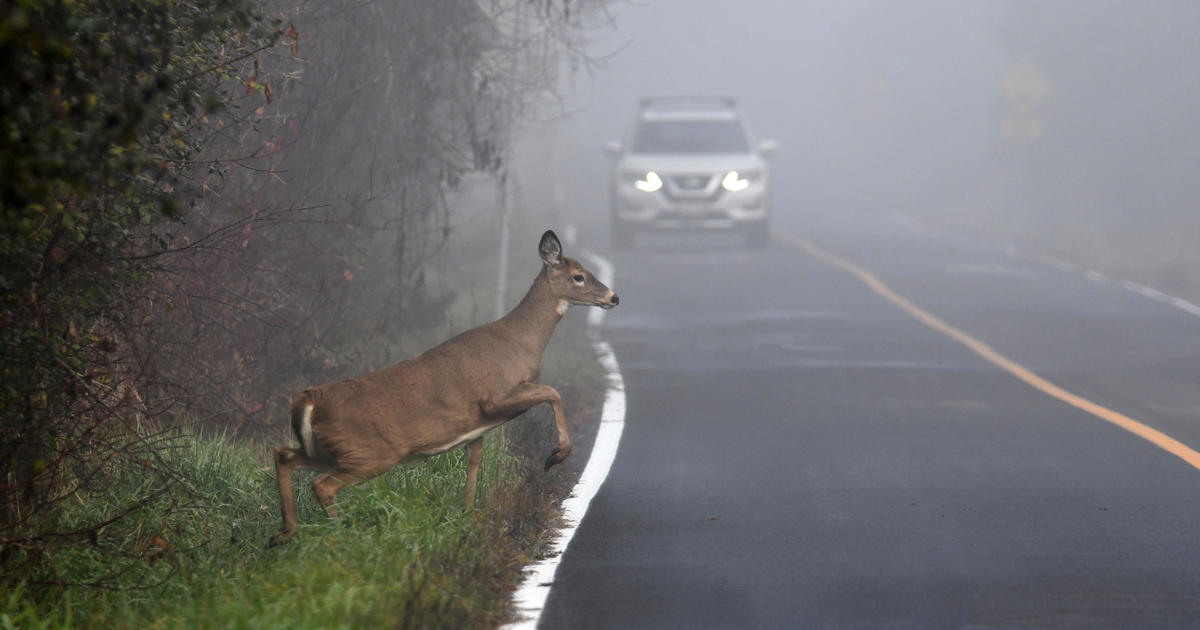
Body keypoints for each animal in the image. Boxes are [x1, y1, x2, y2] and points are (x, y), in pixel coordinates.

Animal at [271, 228, 619, 542]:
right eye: (578, 276)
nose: (613, 297)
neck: (522, 341)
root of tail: (309, 400)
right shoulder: (493, 397)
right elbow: (553, 392)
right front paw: (556, 455)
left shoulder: (478, 427)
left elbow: (474, 463)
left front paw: (468, 516)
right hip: (371, 451)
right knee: (322, 484)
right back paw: (339, 534)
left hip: (331, 449)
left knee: (284, 455)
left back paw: (286, 532)